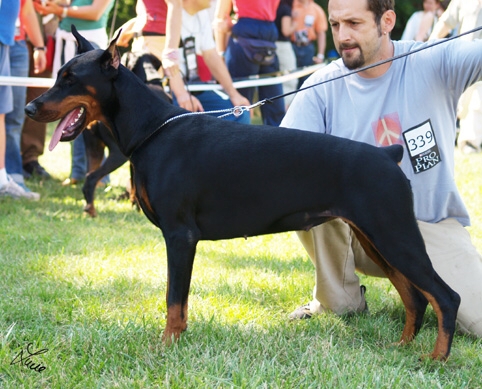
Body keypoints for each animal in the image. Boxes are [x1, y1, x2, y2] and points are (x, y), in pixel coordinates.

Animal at [82, 50, 172, 217]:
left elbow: (134, 184)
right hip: (117, 155)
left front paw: (135, 206)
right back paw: (91, 210)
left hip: (93, 149)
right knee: (91, 178)